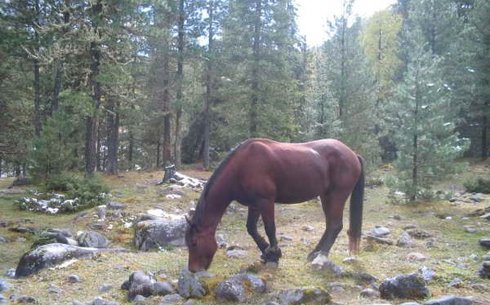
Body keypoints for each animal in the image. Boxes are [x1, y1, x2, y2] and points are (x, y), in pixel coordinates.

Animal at [185, 138, 364, 270]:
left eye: (194, 243)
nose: (194, 270)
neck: (242, 167)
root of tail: (353, 154)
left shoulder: (266, 201)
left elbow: (270, 228)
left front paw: (274, 255)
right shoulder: (254, 204)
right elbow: (251, 228)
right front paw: (267, 253)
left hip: (336, 196)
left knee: (335, 225)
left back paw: (320, 257)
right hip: (325, 197)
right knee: (330, 226)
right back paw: (314, 253)